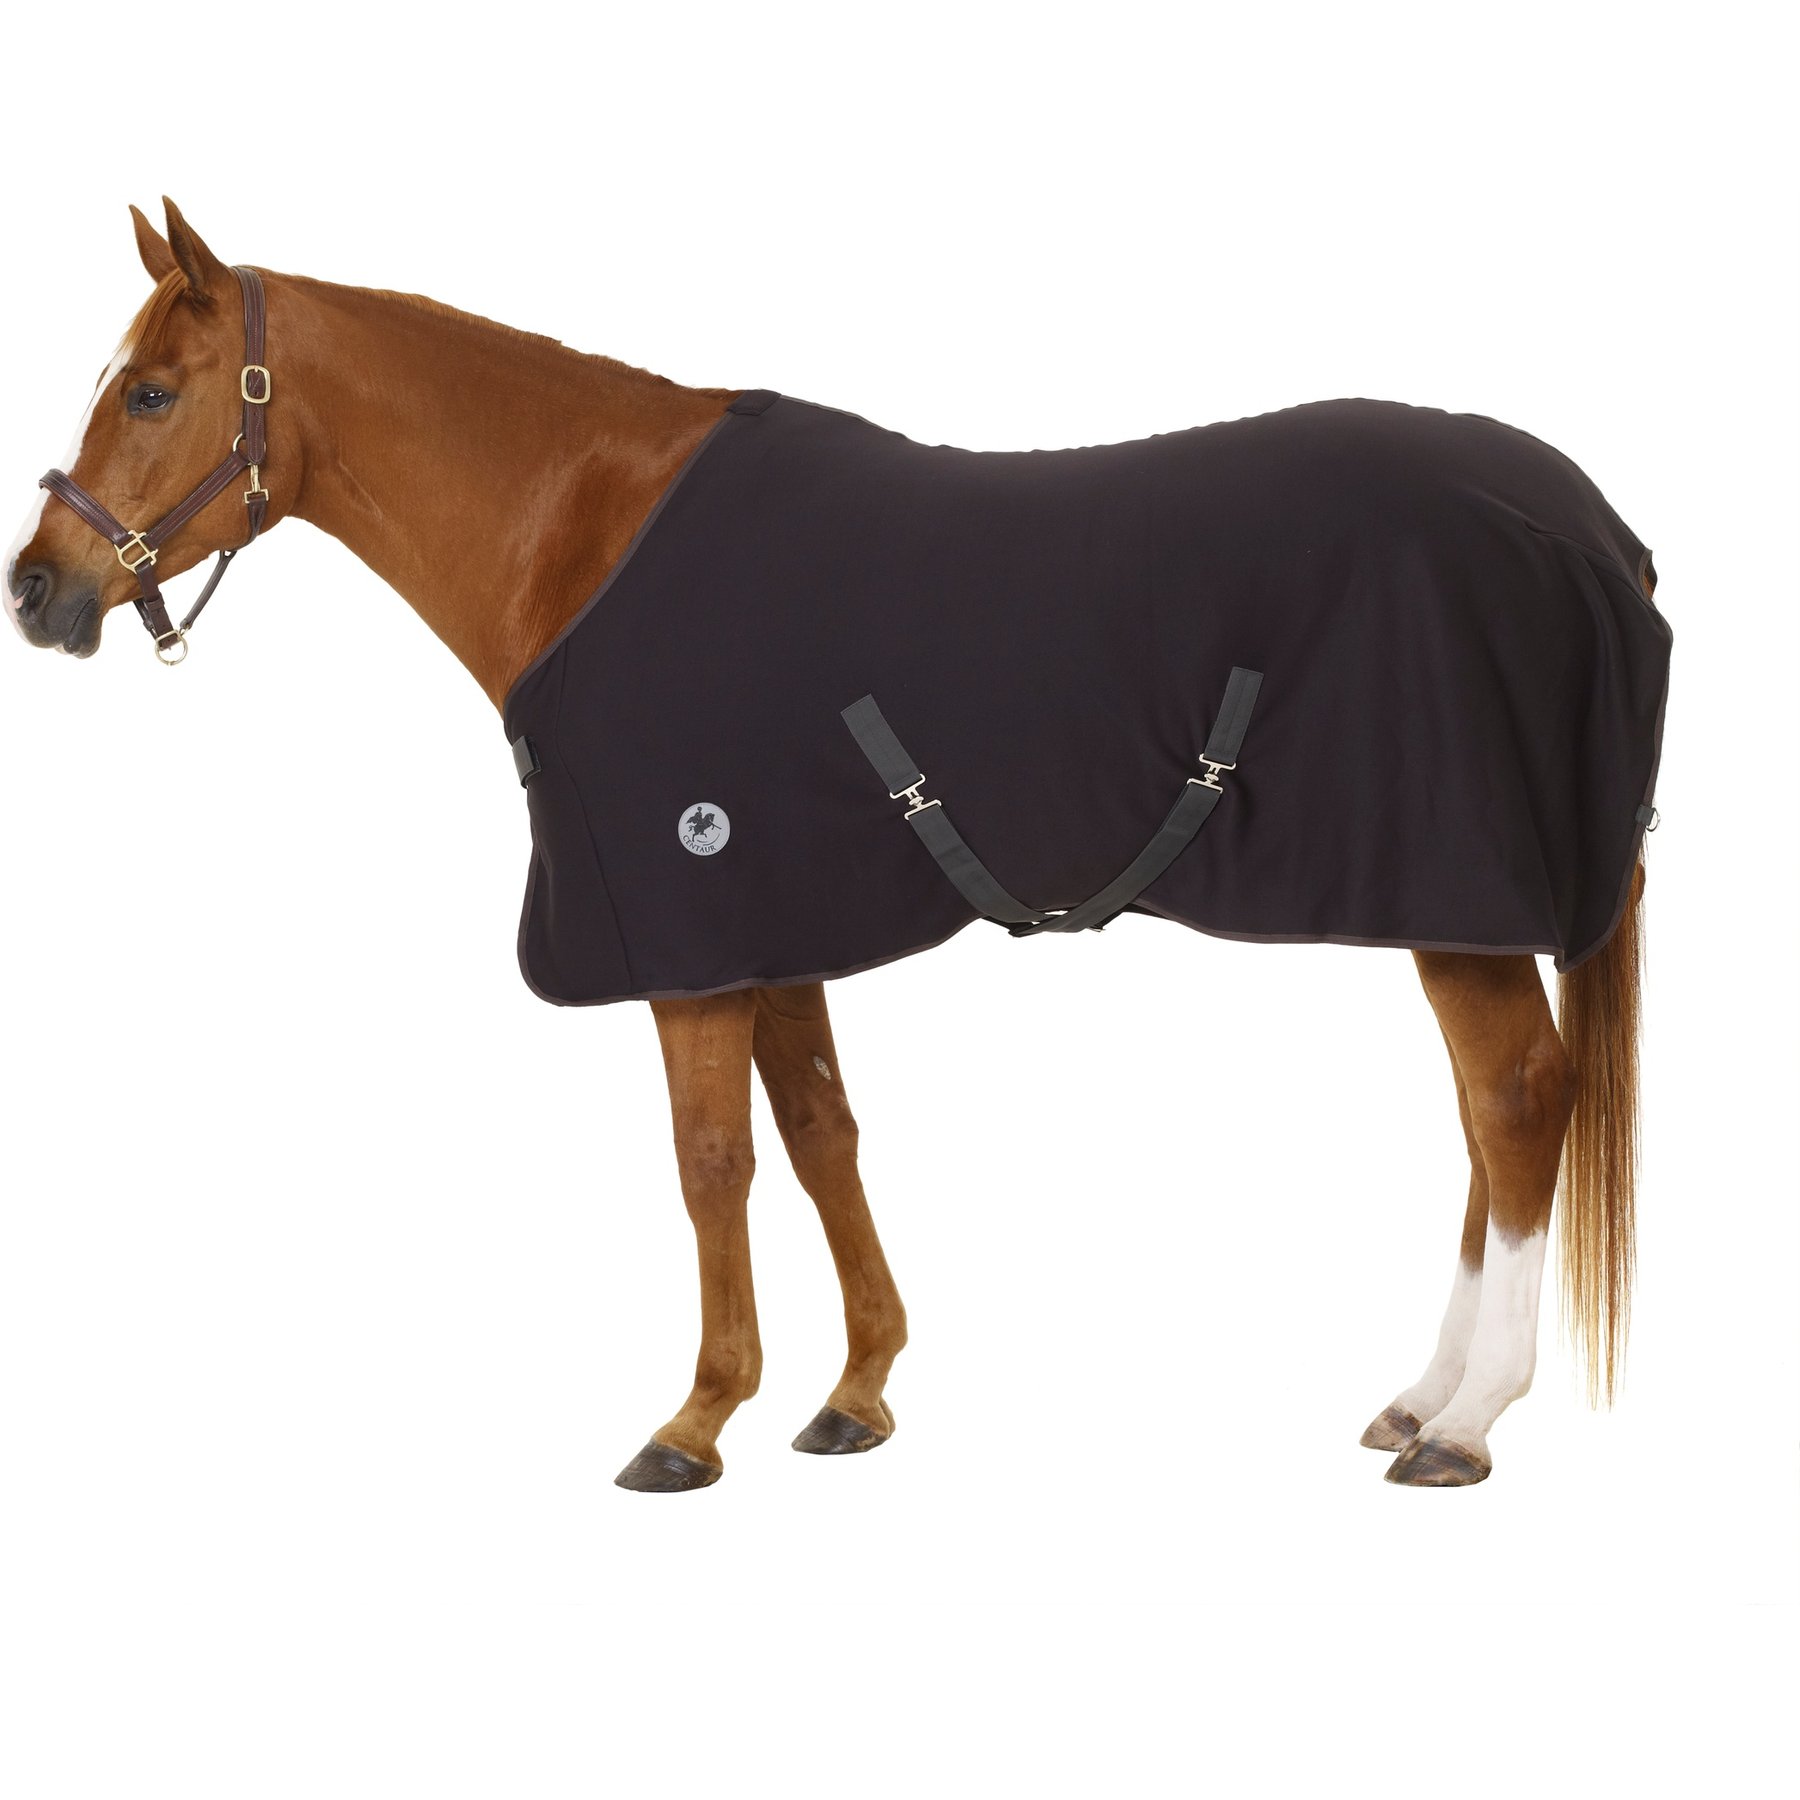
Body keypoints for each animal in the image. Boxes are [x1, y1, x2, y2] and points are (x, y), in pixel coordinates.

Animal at [5, 200, 1667, 1491]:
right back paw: (1420, 1398)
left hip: (1452, 892)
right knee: (1490, 1119)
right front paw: (856, 1392)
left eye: (149, 392)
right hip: (1453, 907)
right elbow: (818, 1132)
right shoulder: (773, 914)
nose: (39, 590)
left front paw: (696, 1418)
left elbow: (712, 1160)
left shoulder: (688, 926)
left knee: (1518, 1101)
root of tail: (1591, 528)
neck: (590, 531)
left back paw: (1467, 1422)